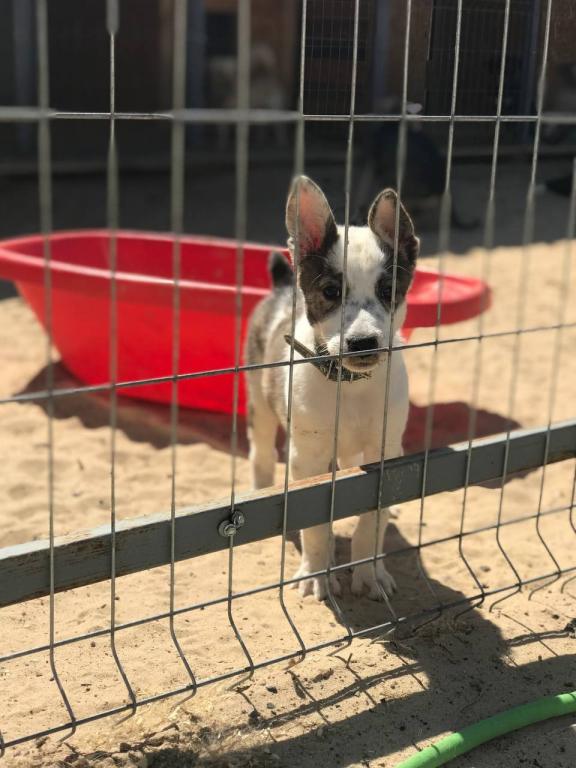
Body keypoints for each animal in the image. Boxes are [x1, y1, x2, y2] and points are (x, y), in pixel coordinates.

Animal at [244, 176, 419, 601]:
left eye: (388, 290)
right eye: (330, 292)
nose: (363, 343)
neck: (350, 386)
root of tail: (282, 287)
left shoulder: (383, 450)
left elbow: (371, 520)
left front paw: (371, 573)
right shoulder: (308, 457)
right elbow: (317, 525)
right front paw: (316, 575)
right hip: (259, 404)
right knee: (260, 456)